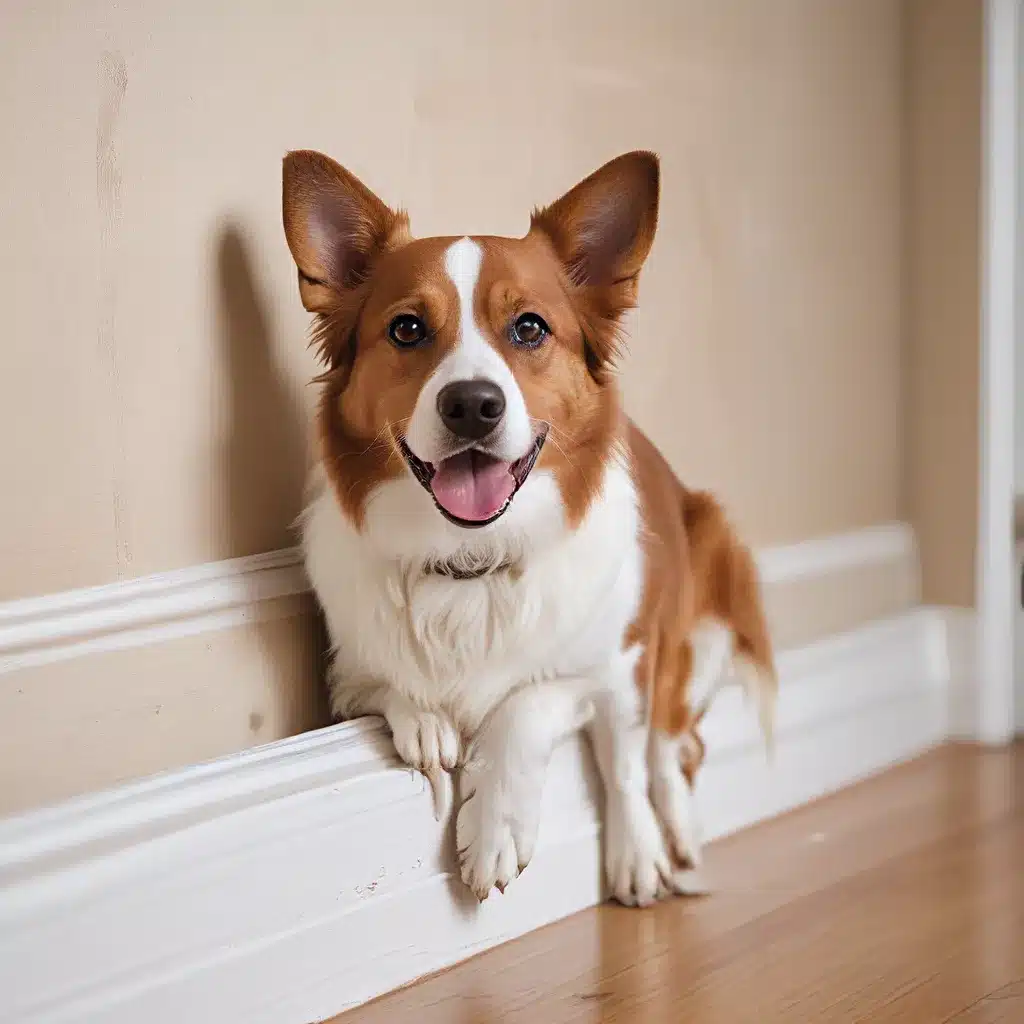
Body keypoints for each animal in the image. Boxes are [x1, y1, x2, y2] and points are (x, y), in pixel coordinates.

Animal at [280, 149, 774, 905]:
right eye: (406, 329)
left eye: (530, 328)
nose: (472, 405)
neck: (472, 558)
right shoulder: (345, 670)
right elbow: (392, 689)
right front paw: (427, 724)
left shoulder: (622, 662)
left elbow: (547, 712)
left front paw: (507, 829)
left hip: (703, 614)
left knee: (669, 748)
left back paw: (676, 837)